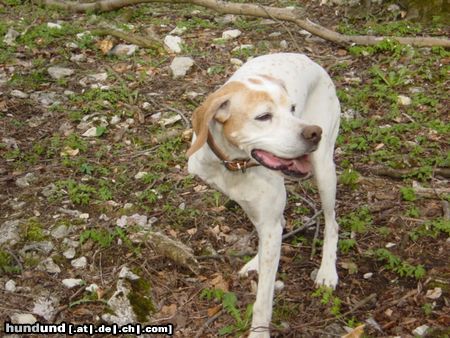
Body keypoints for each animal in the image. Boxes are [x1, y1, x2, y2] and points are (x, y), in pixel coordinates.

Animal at [187, 52, 342, 336]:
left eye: (292, 109)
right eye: (263, 117)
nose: (314, 132)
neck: (234, 164)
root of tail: (305, 57)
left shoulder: (268, 219)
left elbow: (263, 300)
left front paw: (259, 332)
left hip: (325, 170)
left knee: (332, 223)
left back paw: (327, 270)